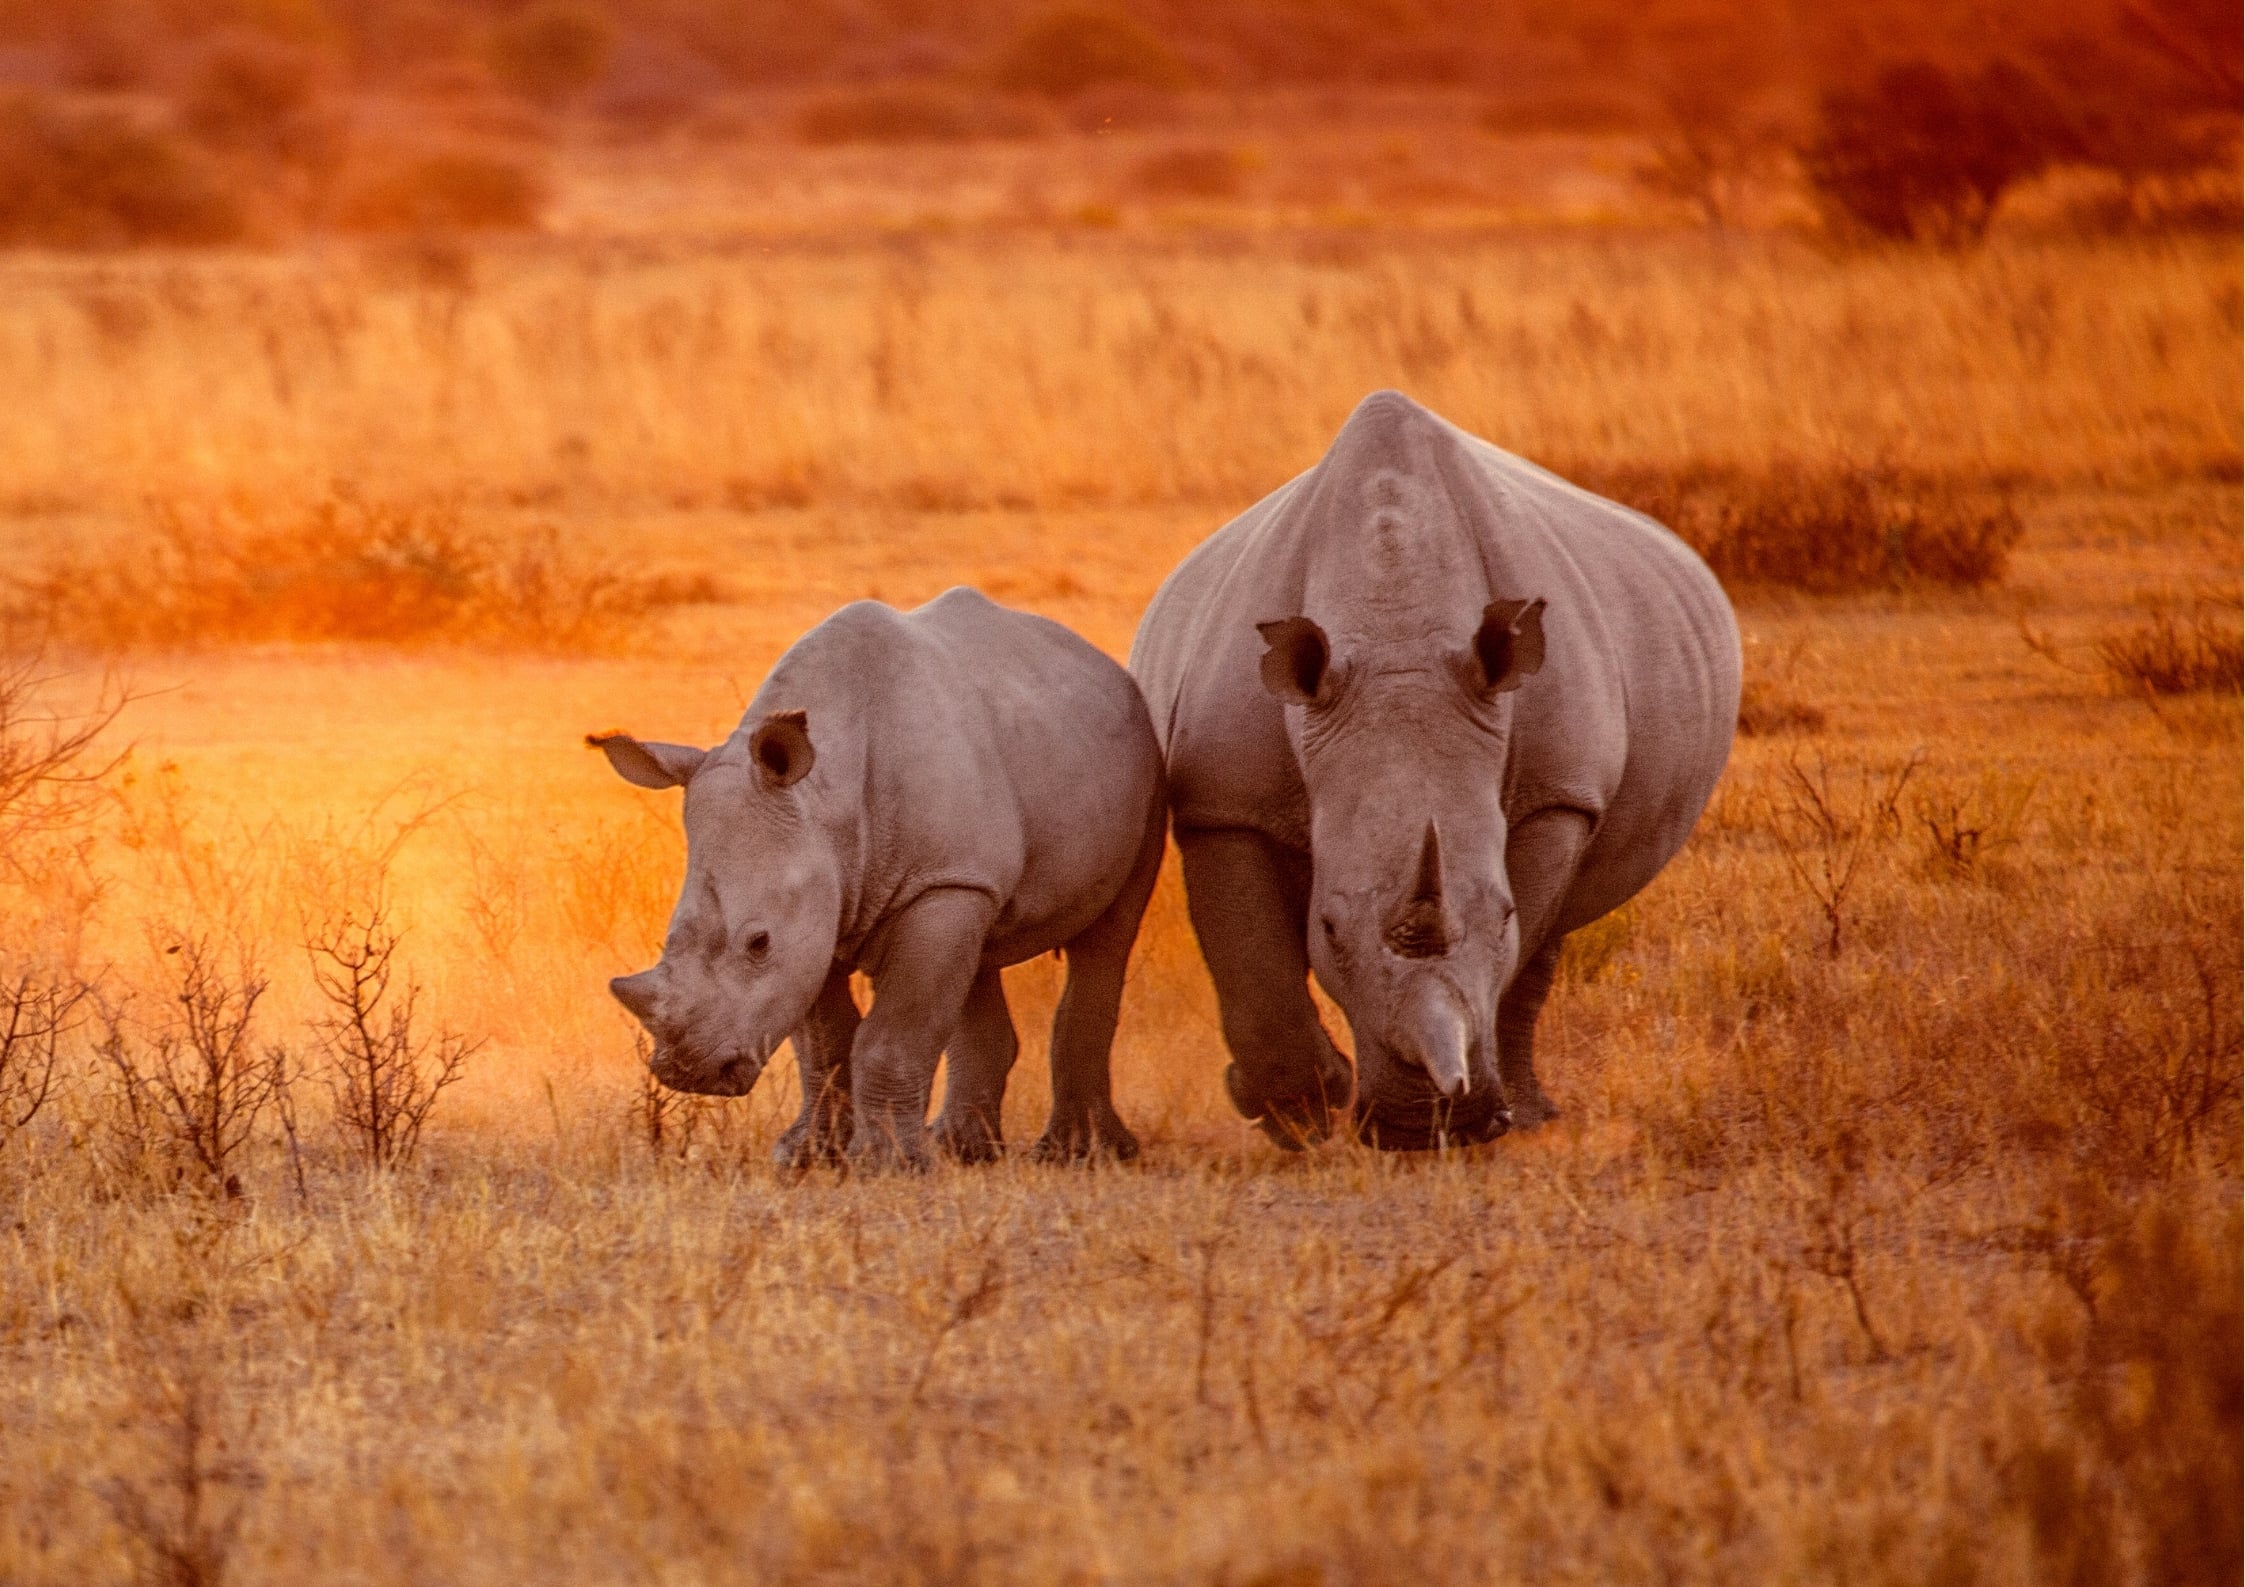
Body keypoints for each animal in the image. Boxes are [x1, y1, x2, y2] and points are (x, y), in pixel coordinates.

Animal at [594, 588, 1164, 1170]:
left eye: (758, 943)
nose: (689, 1073)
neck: (824, 801)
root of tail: (1104, 664)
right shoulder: (829, 901)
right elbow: (824, 1044)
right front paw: (807, 1157)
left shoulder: (936, 883)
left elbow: (893, 1034)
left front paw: (888, 1166)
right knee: (977, 950)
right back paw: (964, 1150)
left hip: (1142, 767)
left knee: (1108, 936)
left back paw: (1079, 1155)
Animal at [1131, 391, 1740, 1149]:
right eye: (1328, 927)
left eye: (1502, 915)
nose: (1423, 1127)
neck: (1395, 635)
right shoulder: (1224, 800)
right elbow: (1249, 956)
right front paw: (1298, 1114)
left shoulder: (1557, 792)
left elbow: (1519, 942)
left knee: (1552, 934)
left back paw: (1530, 1115)